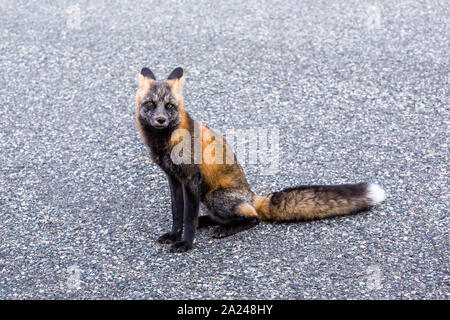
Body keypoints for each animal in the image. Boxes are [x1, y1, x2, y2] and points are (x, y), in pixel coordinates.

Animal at [135, 67, 384, 252]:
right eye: (150, 104)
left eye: (169, 106)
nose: (160, 120)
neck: (166, 142)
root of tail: (253, 196)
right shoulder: (174, 179)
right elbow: (178, 214)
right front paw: (173, 234)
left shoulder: (191, 180)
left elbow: (187, 218)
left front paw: (186, 243)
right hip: (207, 197)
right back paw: (206, 221)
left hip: (215, 196)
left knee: (253, 218)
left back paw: (225, 228)